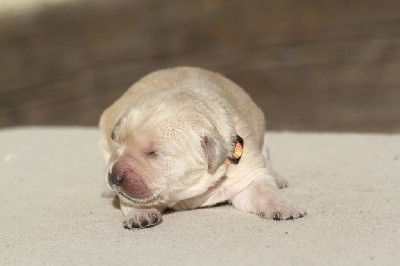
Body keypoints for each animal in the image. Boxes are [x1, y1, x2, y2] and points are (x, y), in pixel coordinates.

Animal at [100, 66, 306, 229]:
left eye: (155, 153)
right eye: (117, 142)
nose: (114, 177)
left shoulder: (247, 172)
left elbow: (264, 190)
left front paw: (284, 207)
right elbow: (132, 199)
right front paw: (140, 214)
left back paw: (277, 177)